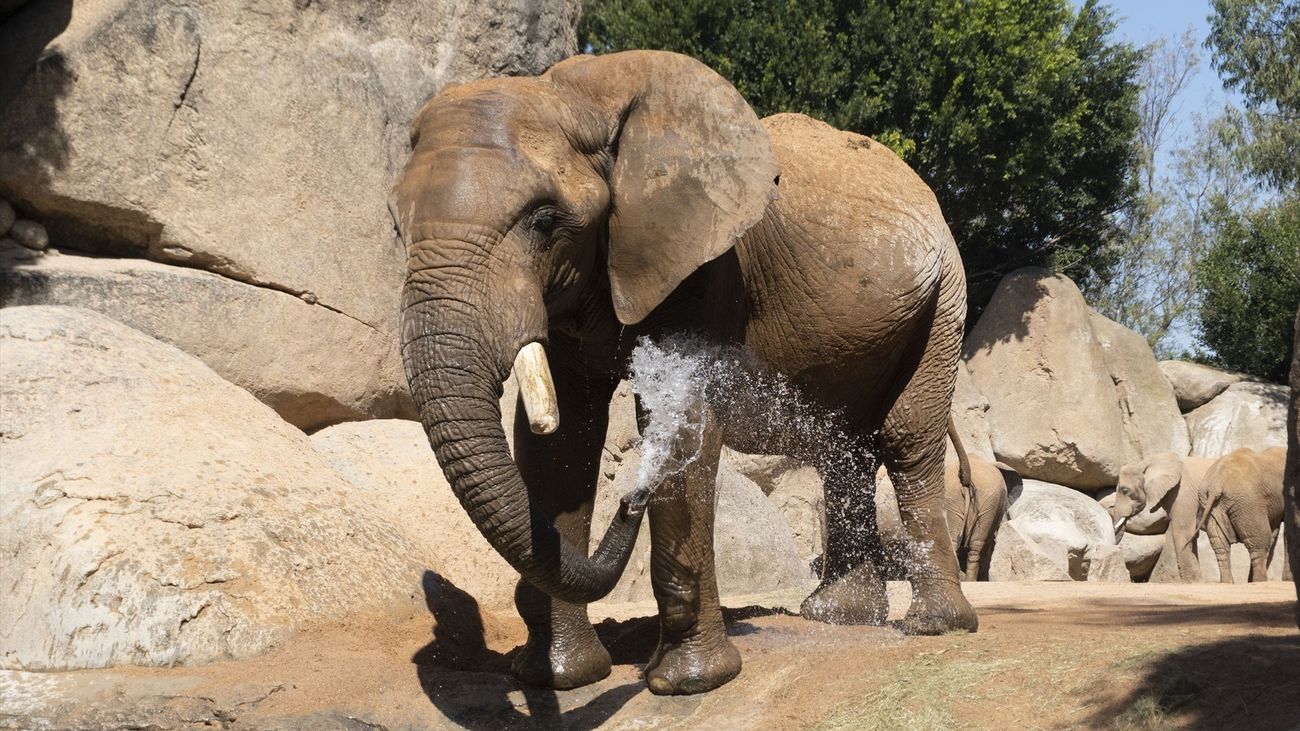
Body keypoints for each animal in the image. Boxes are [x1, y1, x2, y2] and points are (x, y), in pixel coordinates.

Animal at [389, 50, 975, 696]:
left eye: (544, 221)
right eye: (396, 227)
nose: (631, 500)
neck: (577, 95)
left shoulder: (709, 261)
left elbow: (682, 418)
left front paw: (687, 683)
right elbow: (562, 442)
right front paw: (559, 678)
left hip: (944, 297)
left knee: (906, 439)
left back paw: (933, 625)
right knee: (841, 448)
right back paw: (837, 617)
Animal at [1107, 453, 1216, 582]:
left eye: (1125, 490)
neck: (1144, 463)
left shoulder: (1183, 492)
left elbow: (1183, 533)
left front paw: (1192, 582)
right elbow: (1192, 536)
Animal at [1198, 446, 1288, 583]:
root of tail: (1216, 484)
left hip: (1211, 506)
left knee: (1220, 545)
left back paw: (1228, 583)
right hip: (1247, 503)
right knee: (1260, 541)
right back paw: (1259, 581)